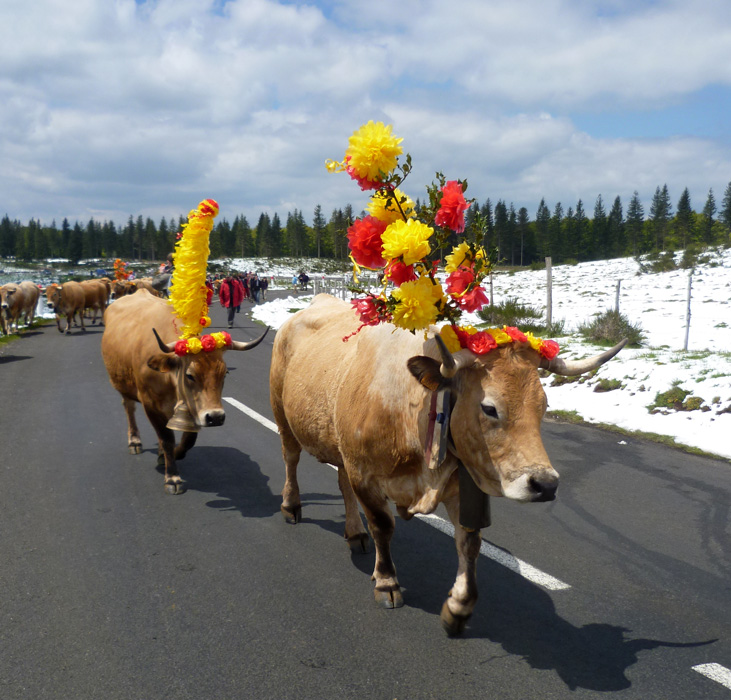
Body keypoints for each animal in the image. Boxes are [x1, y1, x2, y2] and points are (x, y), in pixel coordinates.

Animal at [99, 288, 266, 492]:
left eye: (224, 373)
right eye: (190, 375)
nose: (216, 417)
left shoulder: (194, 408)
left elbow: (188, 440)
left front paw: (171, 455)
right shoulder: (150, 405)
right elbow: (166, 438)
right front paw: (172, 477)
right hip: (123, 386)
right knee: (129, 408)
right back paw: (134, 441)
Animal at [272, 292, 628, 636]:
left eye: (543, 405)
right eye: (489, 408)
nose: (545, 484)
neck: (412, 410)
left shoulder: (461, 484)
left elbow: (469, 542)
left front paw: (458, 607)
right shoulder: (365, 474)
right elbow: (383, 526)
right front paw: (387, 582)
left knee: (341, 481)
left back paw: (355, 533)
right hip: (281, 411)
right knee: (290, 458)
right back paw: (292, 506)